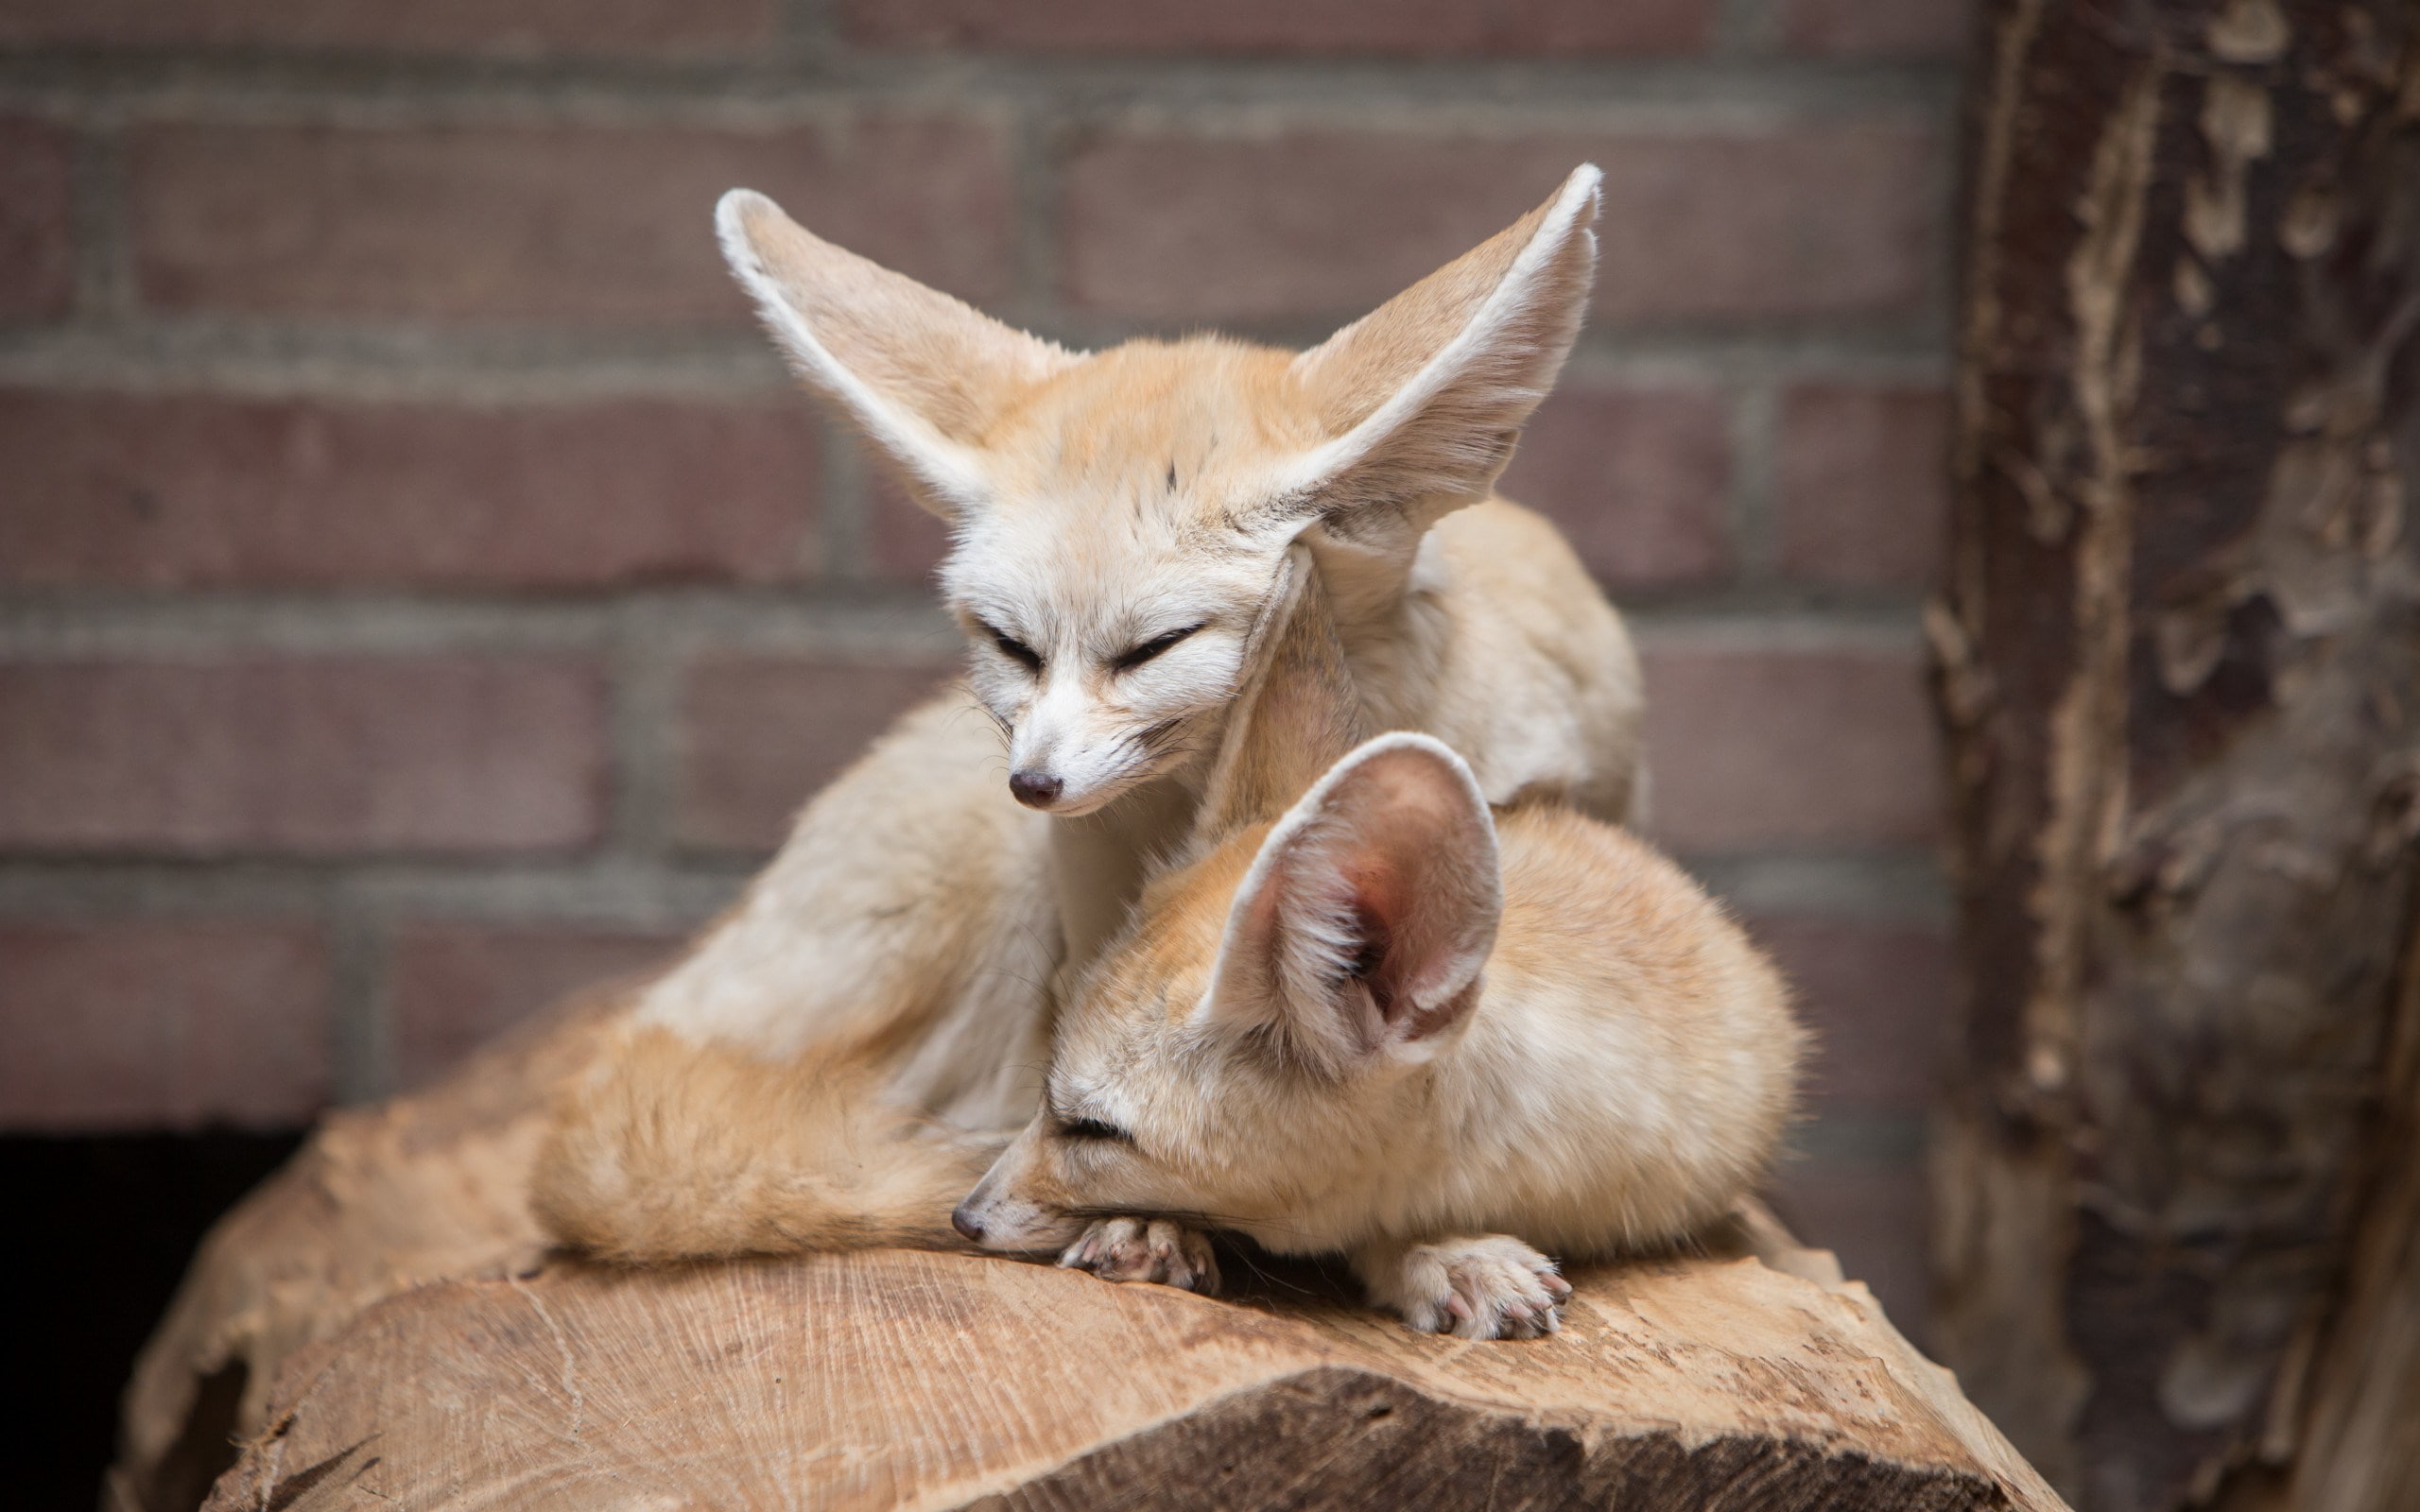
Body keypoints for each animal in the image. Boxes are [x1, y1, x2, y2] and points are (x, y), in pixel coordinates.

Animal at [534, 167, 1649, 1263]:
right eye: (1010, 646)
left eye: (1153, 648)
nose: (1033, 783)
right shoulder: (1086, 923)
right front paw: (1143, 1211)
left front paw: (1442, 1248)